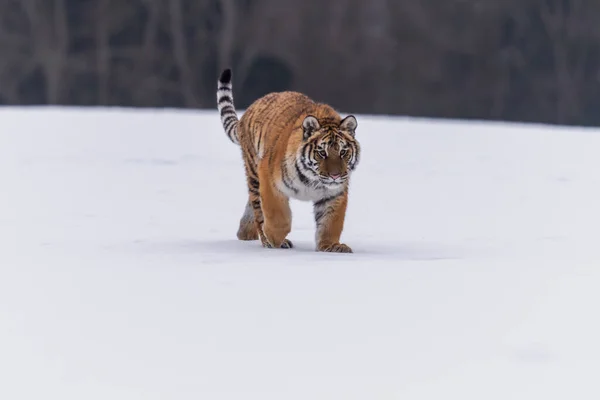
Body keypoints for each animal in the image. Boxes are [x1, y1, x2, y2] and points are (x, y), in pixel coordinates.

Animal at [218, 67, 364, 252]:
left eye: (343, 152)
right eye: (322, 152)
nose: (335, 176)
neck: (313, 181)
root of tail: (250, 109)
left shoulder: (334, 194)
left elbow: (331, 222)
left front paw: (331, 246)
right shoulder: (269, 179)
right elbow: (277, 216)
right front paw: (274, 238)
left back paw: (245, 234)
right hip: (254, 174)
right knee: (258, 210)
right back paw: (266, 239)